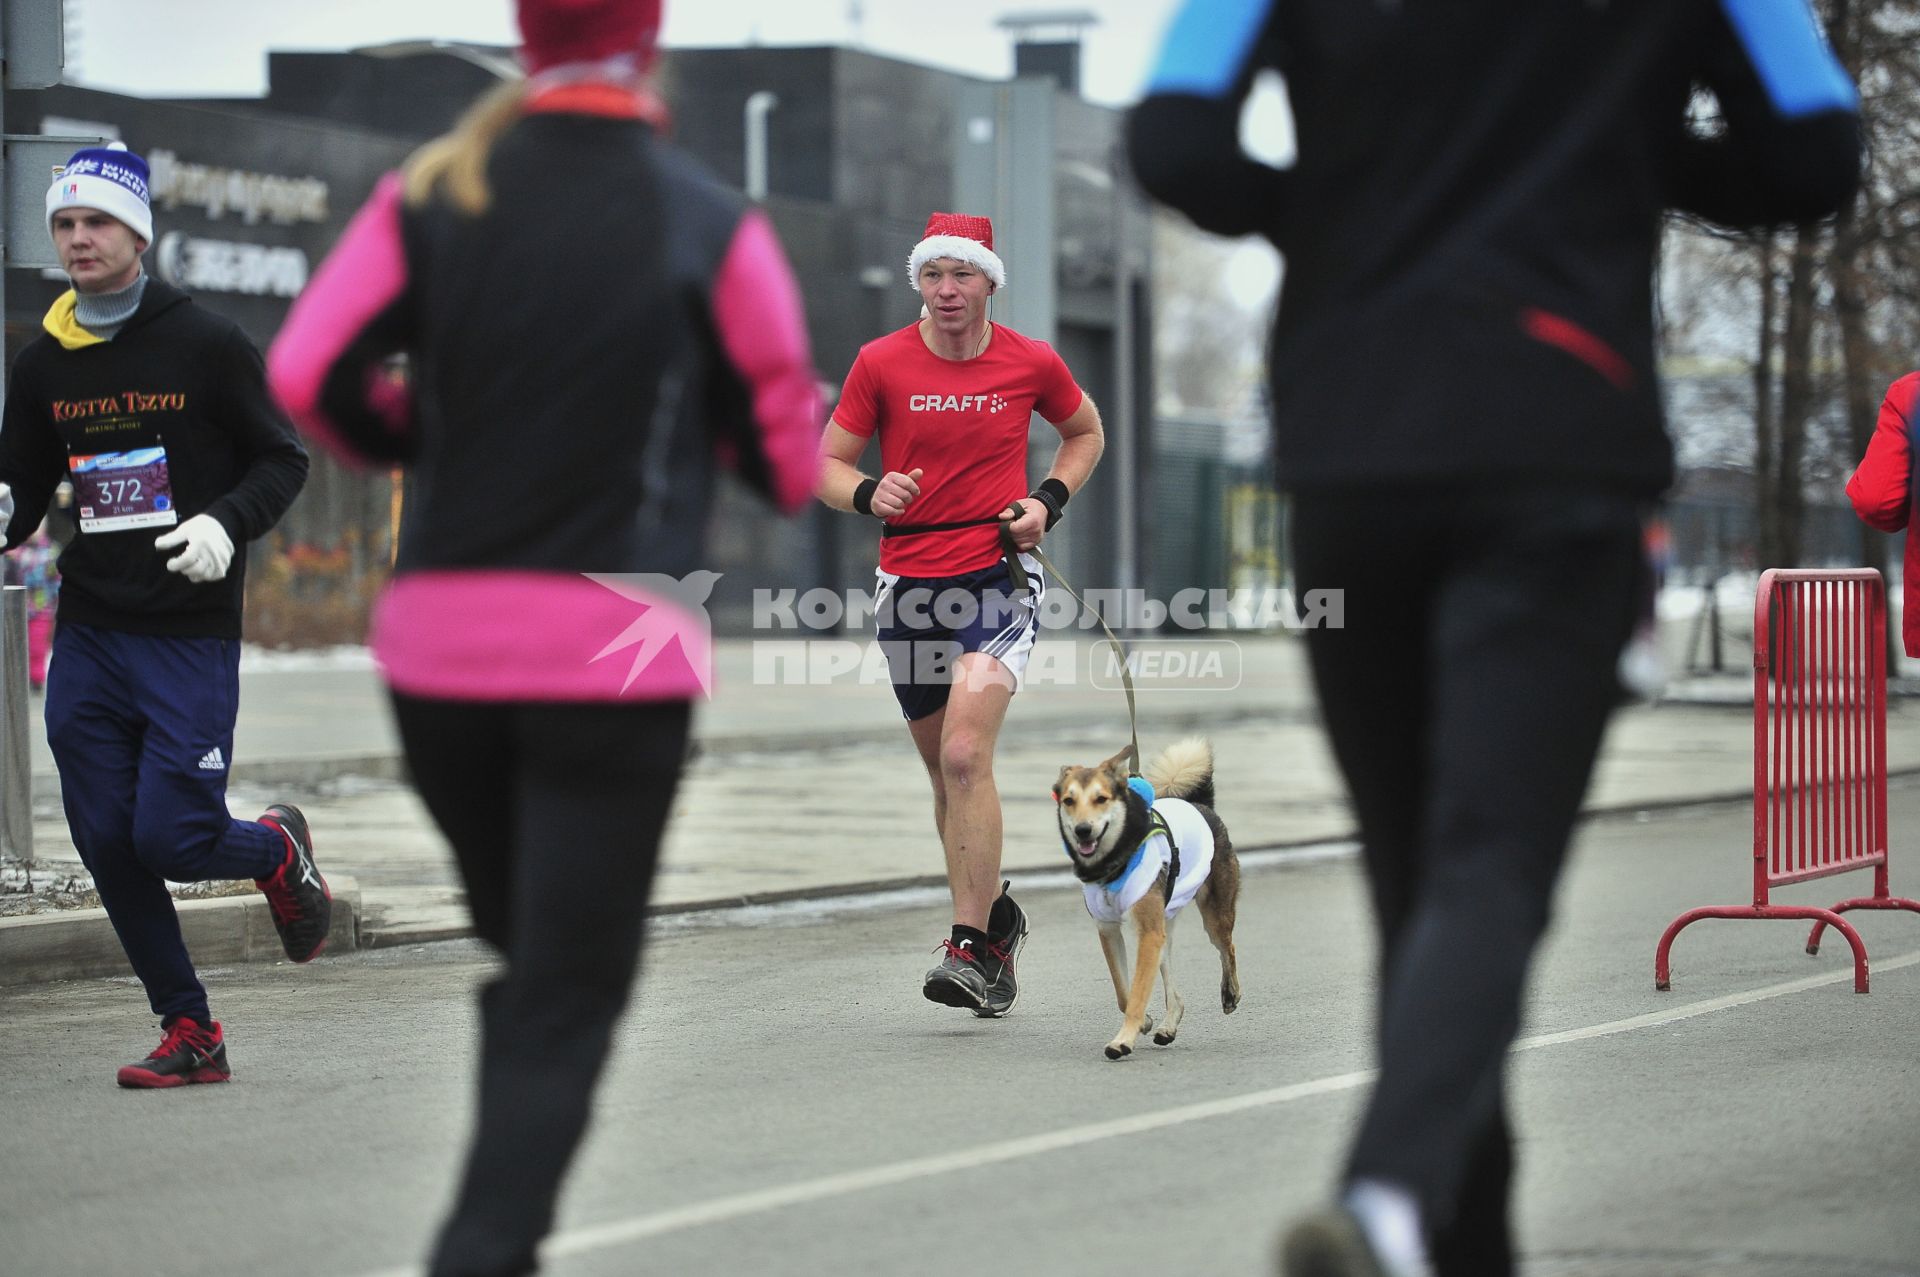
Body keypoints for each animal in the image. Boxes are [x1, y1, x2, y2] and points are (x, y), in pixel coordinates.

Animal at [1052, 737, 1244, 1052]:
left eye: (1101, 799)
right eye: (1069, 801)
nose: (1082, 830)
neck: (1113, 863)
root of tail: (1200, 804)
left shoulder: (1148, 934)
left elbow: (1138, 992)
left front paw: (1123, 1040)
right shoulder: (1109, 930)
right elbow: (1124, 994)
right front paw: (1143, 1022)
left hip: (1213, 916)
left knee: (1227, 948)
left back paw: (1230, 993)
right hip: (1163, 925)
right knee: (1176, 996)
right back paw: (1168, 1027)